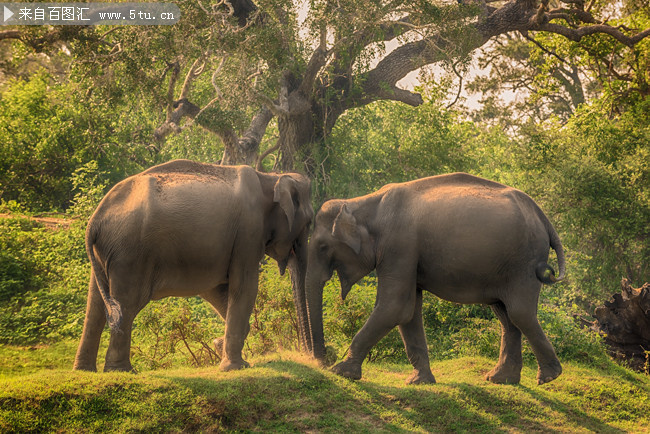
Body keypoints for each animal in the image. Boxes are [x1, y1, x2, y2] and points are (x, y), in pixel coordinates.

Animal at [73, 160, 312, 372]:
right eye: (310, 223)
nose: (310, 356)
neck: (270, 178)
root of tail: (95, 220)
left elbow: (215, 289)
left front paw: (220, 347)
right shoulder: (249, 231)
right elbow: (245, 286)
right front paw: (236, 367)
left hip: (106, 254)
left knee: (96, 304)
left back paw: (85, 370)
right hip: (129, 254)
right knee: (127, 304)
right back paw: (122, 371)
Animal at [304, 171, 560, 384]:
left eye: (323, 247)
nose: (323, 359)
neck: (363, 203)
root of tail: (543, 217)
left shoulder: (399, 245)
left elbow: (394, 306)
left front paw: (341, 371)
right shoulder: (407, 254)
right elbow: (408, 311)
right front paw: (419, 381)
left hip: (524, 263)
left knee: (519, 312)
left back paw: (548, 377)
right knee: (506, 315)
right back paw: (501, 379)